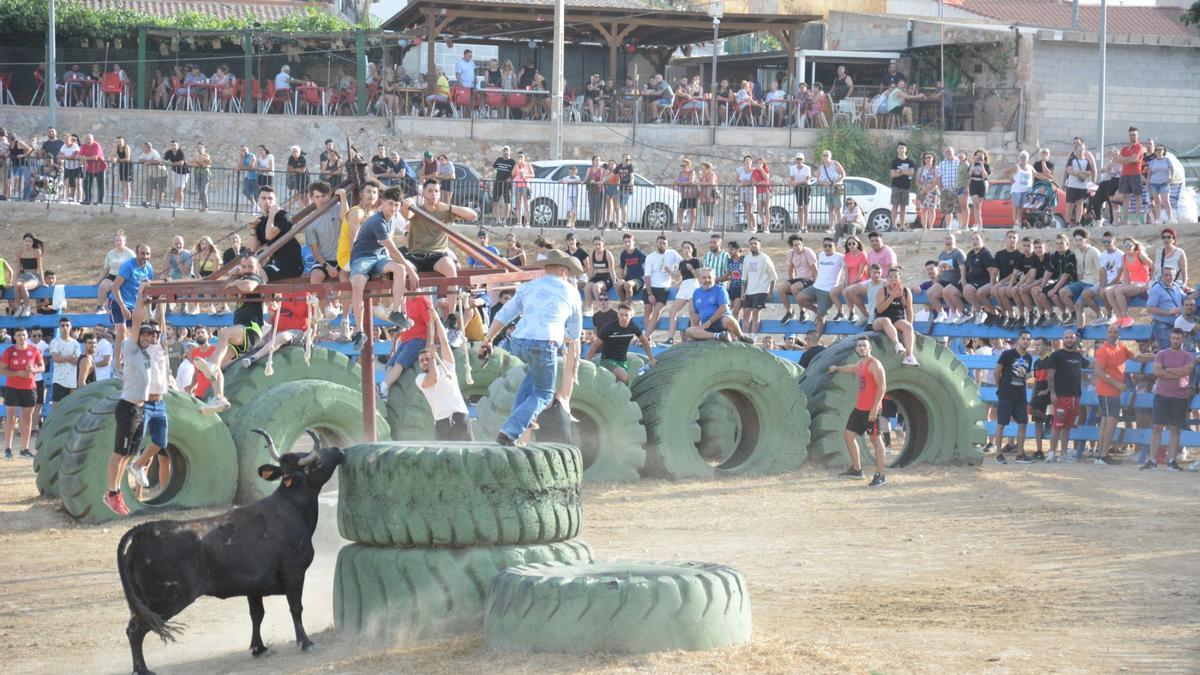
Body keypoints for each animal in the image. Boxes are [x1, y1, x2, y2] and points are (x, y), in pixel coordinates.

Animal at [115, 427, 343, 667]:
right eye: (316, 462)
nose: (339, 450)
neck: (290, 506)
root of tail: (144, 529)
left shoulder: (254, 586)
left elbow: (257, 614)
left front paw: (258, 648)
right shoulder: (294, 574)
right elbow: (296, 607)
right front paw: (305, 642)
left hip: (145, 601)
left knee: (133, 628)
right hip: (166, 600)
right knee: (136, 631)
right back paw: (142, 669)